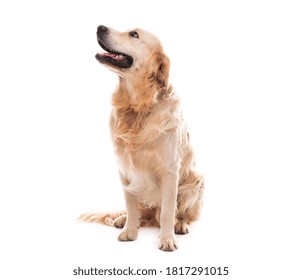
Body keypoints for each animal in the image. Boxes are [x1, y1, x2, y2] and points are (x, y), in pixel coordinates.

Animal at [79, 25, 203, 250]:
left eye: (134, 34)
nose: (100, 27)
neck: (138, 106)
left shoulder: (170, 170)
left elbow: (167, 211)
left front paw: (167, 239)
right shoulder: (125, 170)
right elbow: (131, 205)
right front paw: (130, 230)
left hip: (195, 182)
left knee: (179, 214)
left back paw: (180, 225)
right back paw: (123, 220)